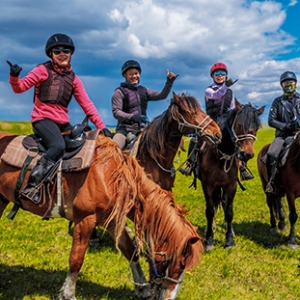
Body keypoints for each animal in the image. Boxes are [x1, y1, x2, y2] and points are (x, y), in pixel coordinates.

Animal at [0, 134, 204, 300]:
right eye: (180, 263)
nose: (169, 297)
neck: (111, 176)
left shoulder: (112, 222)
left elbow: (130, 251)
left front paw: (142, 287)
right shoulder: (86, 220)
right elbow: (76, 259)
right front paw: (68, 294)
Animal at [193, 99, 264, 250]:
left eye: (256, 128)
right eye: (239, 125)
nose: (247, 154)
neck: (221, 156)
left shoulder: (231, 186)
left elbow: (229, 211)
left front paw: (229, 240)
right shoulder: (208, 186)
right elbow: (210, 211)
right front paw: (209, 240)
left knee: (224, 205)